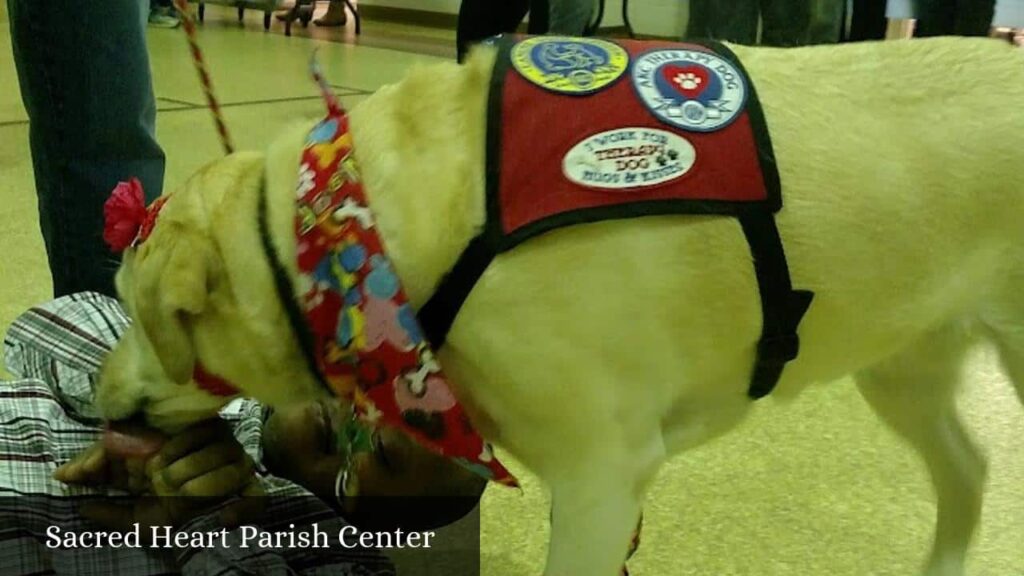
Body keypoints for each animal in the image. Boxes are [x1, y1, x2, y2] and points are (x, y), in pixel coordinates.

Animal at [96, 38, 1024, 569]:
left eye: (131, 309)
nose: (98, 394)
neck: (355, 229)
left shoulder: (600, 476)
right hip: (902, 365)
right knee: (971, 472)